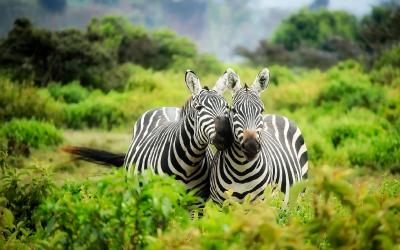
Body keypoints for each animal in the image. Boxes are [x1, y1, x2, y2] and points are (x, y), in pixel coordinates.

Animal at [61, 69, 233, 198]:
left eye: (227, 107)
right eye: (199, 108)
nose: (225, 135)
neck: (190, 162)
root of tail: (165, 107)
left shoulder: (197, 203)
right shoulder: (161, 197)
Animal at [209, 68, 310, 205]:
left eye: (261, 110)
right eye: (233, 110)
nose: (251, 146)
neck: (241, 170)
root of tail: (276, 115)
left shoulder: (260, 203)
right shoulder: (219, 204)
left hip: (299, 195)